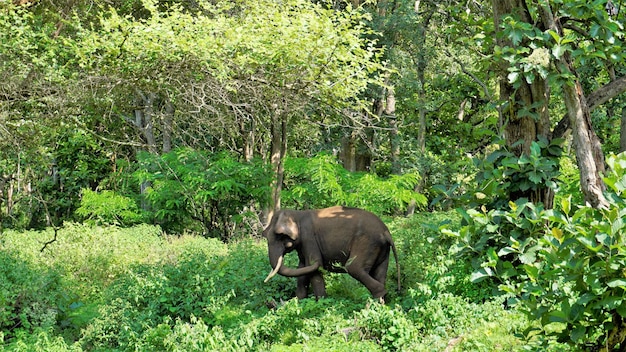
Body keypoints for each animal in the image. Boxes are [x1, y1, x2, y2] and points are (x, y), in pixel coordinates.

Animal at [260, 206, 398, 300]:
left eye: (280, 236)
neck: (297, 214)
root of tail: (386, 232)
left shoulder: (309, 238)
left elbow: (313, 267)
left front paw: (321, 302)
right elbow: (303, 268)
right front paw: (299, 302)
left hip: (367, 243)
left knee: (353, 268)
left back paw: (379, 296)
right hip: (382, 250)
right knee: (379, 272)